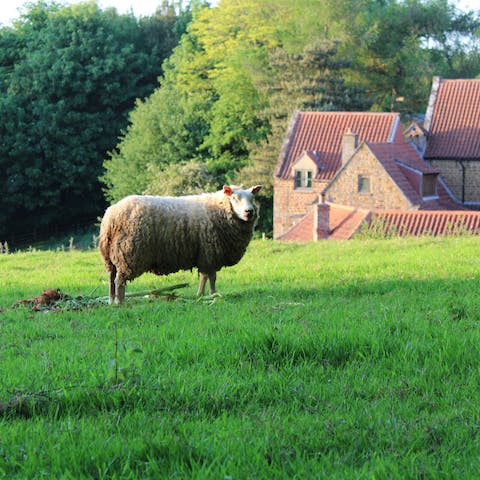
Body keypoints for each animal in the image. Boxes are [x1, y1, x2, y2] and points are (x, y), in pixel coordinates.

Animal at [98, 184, 262, 304]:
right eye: (234, 198)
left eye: (253, 197)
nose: (249, 212)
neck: (219, 209)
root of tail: (111, 216)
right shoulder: (208, 253)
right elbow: (208, 277)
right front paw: (204, 295)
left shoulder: (209, 255)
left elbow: (210, 277)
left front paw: (209, 294)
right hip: (128, 254)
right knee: (119, 280)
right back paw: (121, 302)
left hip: (110, 257)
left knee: (111, 279)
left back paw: (111, 301)